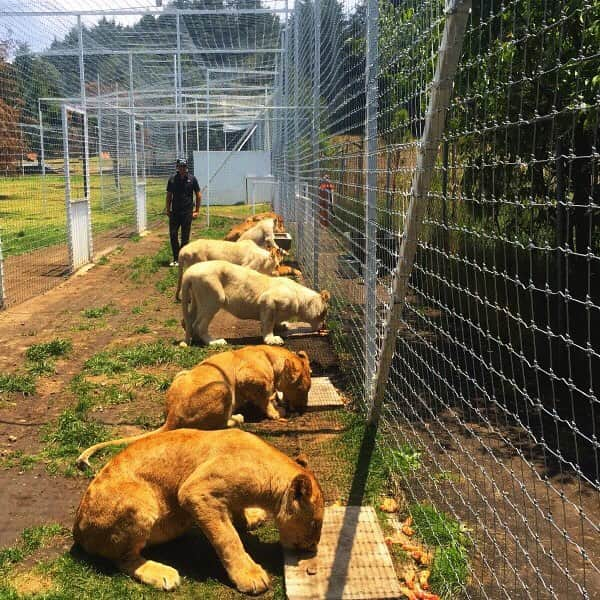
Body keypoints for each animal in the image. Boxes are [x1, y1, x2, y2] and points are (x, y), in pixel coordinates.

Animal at [73, 428, 326, 592]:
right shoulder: (196, 493)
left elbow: (236, 514)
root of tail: (77, 529)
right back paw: (162, 574)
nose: (312, 547)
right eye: (315, 523)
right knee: (123, 559)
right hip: (140, 501)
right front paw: (250, 576)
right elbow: (228, 538)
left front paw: (250, 517)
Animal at [75, 346, 312, 468]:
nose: (303, 408)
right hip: (221, 386)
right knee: (218, 425)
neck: (270, 357)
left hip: (182, 373)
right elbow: (265, 398)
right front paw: (277, 412)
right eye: (303, 387)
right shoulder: (249, 378)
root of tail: (172, 415)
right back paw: (237, 418)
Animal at [182, 258, 330, 346]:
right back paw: (214, 341)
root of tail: (189, 272)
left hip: (197, 301)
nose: (323, 326)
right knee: (198, 325)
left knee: (189, 321)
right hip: (214, 298)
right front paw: (272, 339)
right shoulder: (268, 300)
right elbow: (269, 322)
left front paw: (282, 325)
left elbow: (275, 320)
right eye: (323, 314)